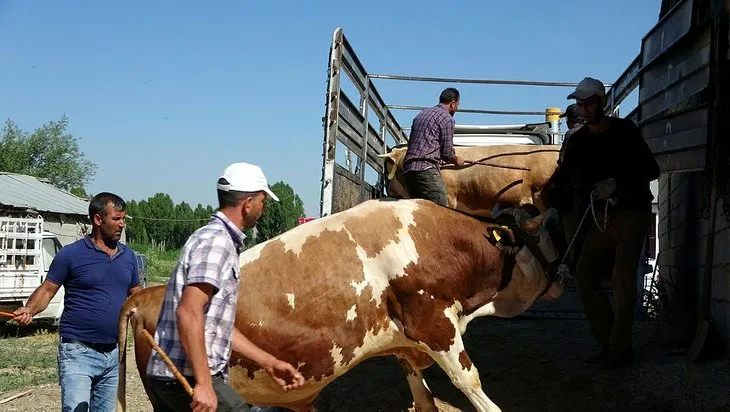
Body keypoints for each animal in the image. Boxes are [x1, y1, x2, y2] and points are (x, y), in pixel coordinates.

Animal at [115, 198, 564, 410]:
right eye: (545, 234)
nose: (562, 276)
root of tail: (147, 294)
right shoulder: (435, 326)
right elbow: (471, 385)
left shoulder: (406, 345)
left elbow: (424, 400)